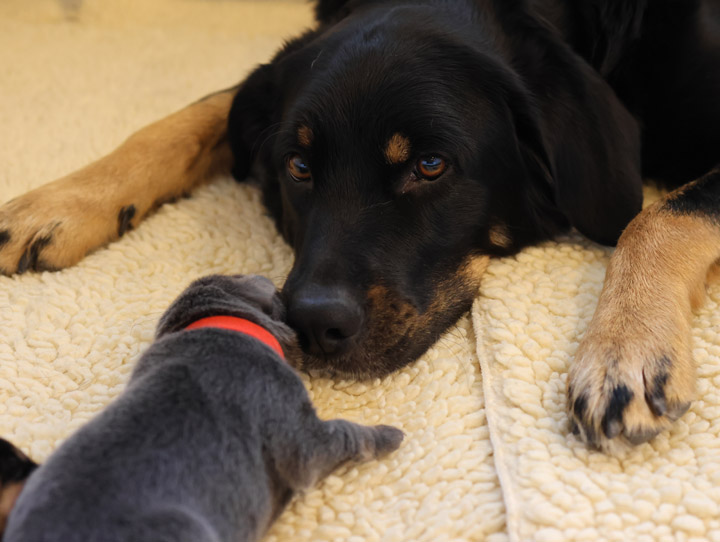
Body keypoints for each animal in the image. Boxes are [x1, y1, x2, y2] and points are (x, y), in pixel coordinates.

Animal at [0, 2, 716, 448]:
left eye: (430, 165)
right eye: (297, 166)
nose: (315, 323)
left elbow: (660, 214)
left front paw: (626, 347)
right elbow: (200, 110)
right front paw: (62, 200)